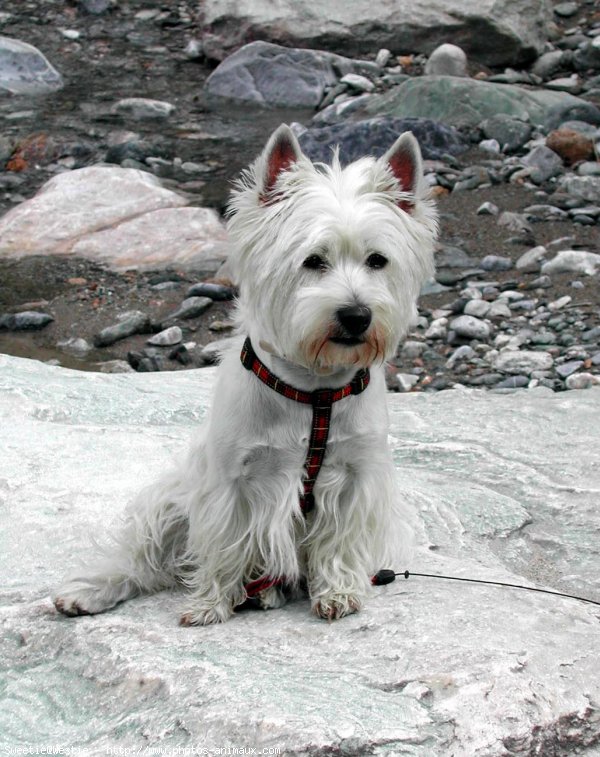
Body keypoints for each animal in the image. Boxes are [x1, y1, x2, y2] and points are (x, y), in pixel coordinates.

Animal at [52, 122, 436, 620]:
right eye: (313, 260)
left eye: (377, 260)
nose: (356, 316)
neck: (314, 389)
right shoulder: (231, 481)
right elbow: (224, 545)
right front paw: (210, 604)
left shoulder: (356, 476)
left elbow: (339, 542)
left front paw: (337, 592)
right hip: (169, 498)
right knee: (143, 560)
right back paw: (92, 591)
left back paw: (269, 590)